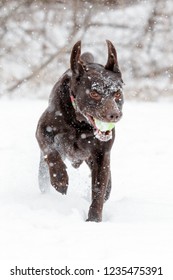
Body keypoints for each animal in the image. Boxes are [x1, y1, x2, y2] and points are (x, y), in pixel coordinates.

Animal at [35, 40, 123, 222]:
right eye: (94, 93)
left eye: (117, 93)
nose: (114, 115)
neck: (79, 123)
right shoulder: (43, 129)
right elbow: (51, 152)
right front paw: (60, 179)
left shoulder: (101, 155)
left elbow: (99, 190)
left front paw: (94, 220)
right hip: (42, 173)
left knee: (107, 189)